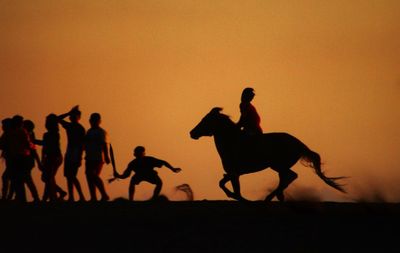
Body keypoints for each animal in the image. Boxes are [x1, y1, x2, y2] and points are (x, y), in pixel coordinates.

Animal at [189, 107, 346, 202]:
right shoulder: (233, 173)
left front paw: (241, 198)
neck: (232, 141)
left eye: (205, 120)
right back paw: (276, 197)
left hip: (279, 165)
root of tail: (299, 143)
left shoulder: (235, 173)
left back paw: (269, 197)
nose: (191, 133)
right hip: (278, 167)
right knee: (286, 179)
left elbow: (230, 188)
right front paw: (237, 196)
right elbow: (223, 183)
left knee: (291, 176)